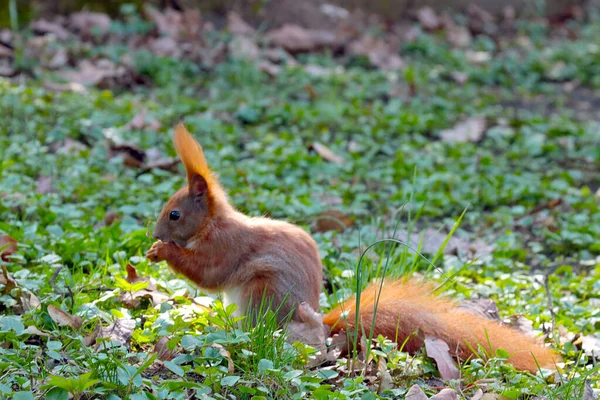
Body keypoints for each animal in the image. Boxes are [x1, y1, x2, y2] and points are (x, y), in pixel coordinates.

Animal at [148, 123, 560, 374]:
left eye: (174, 214)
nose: (154, 231)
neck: (212, 223)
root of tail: (321, 321)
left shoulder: (226, 246)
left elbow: (208, 273)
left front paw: (161, 252)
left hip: (260, 291)